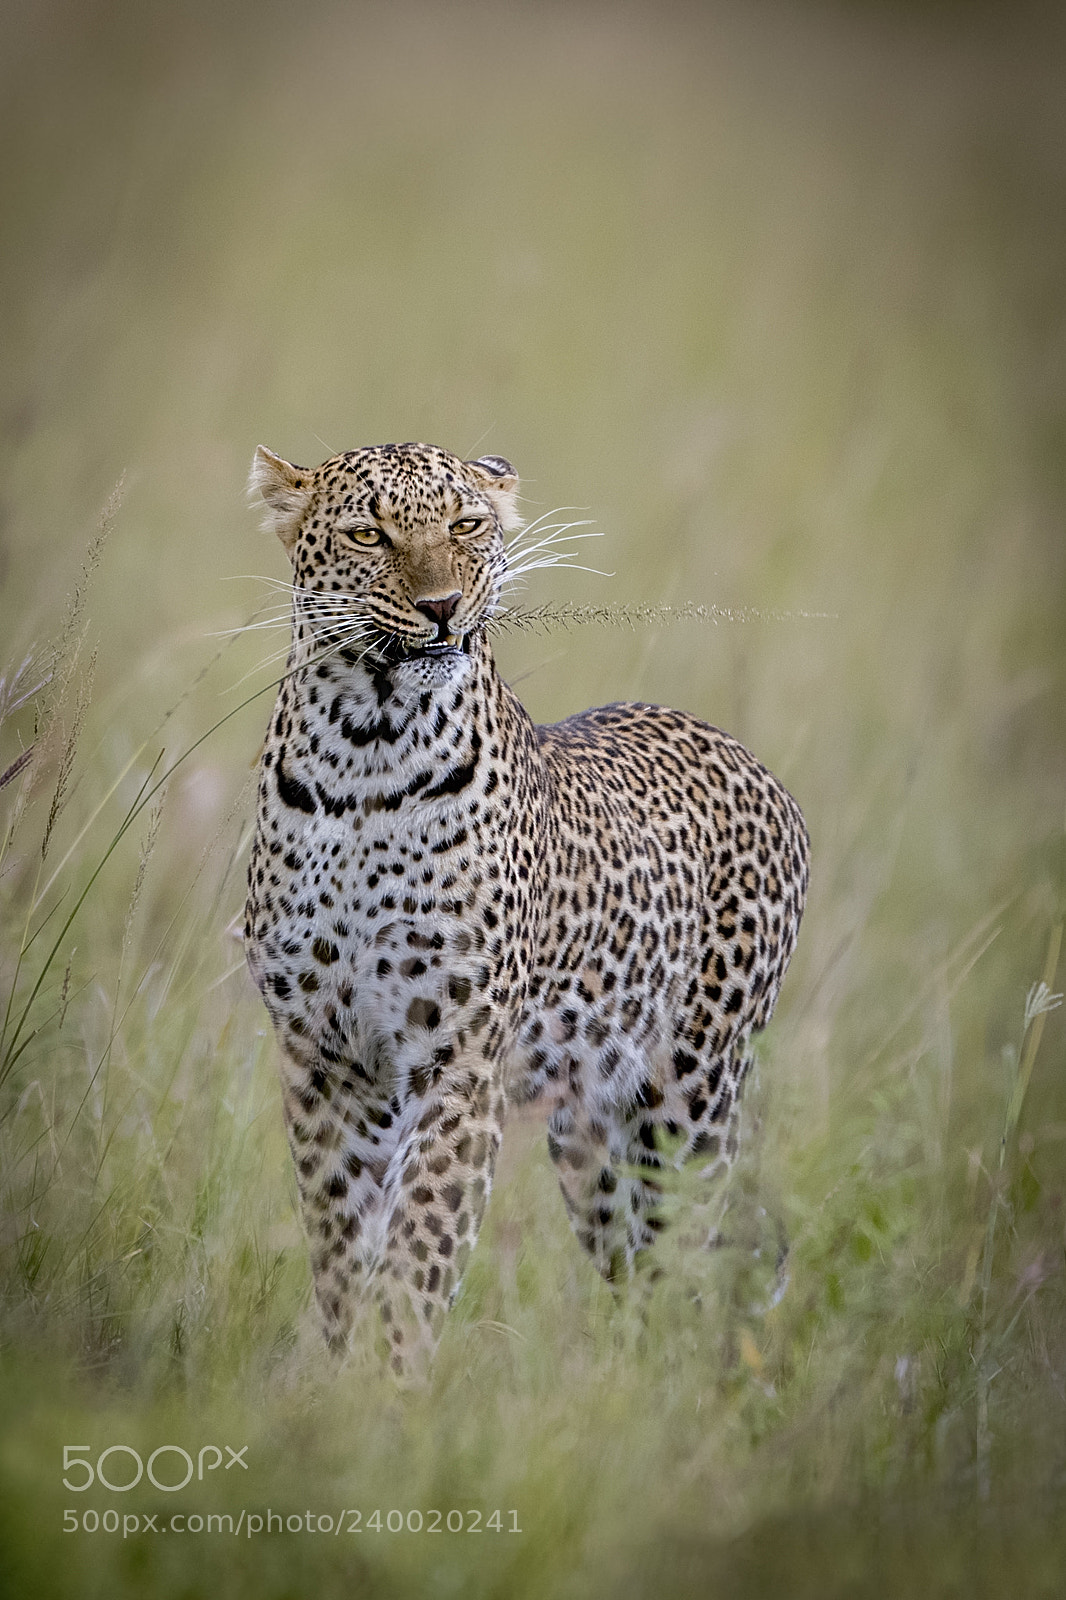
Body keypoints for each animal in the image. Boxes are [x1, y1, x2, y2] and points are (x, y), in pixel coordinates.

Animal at [243, 440, 809, 1376]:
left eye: (466, 523)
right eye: (368, 533)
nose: (441, 606)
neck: (364, 752)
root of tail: (752, 760)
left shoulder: (458, 1059)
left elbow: (419, 1248)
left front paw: (392, 1386)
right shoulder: (325, 1059)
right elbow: (341, 1250)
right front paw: (342, 1377)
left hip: (690, 1104)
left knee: (701, 1255)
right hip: (590, 1138)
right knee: (641, 1269)